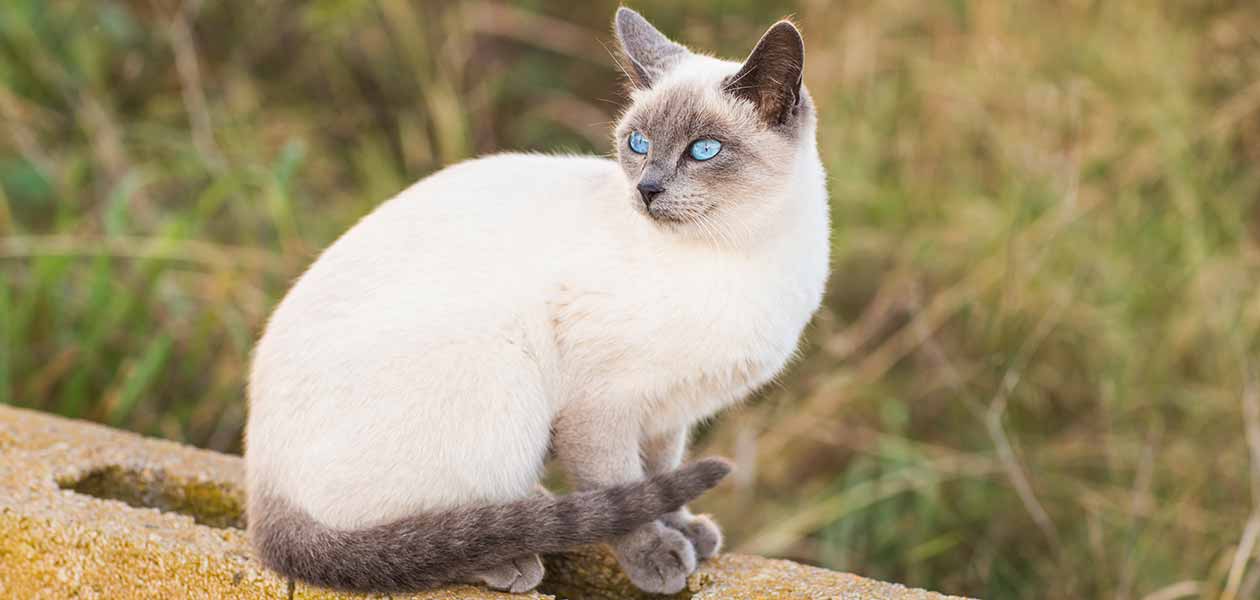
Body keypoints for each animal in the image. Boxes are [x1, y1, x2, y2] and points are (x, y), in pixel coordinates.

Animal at [246, 5, 831, 594]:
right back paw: (510, 554)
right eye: (638, 144)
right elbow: (621, 490)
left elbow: (660, 476)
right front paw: (658, 556)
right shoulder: (603, 405)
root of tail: (261, 481)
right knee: (422, 530)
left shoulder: (669, 411)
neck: (739, 252)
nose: (646, 189)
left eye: (704, 150)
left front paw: (686, 530)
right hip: (502, 374)